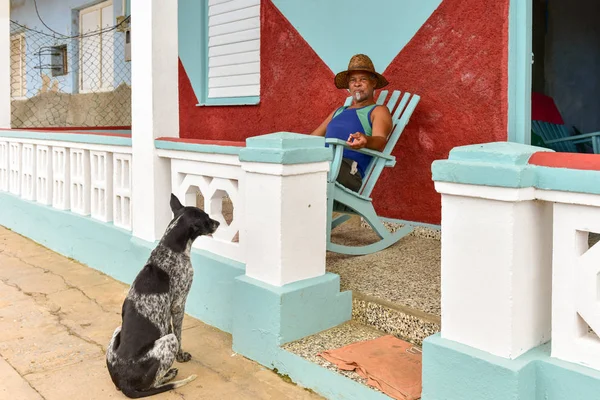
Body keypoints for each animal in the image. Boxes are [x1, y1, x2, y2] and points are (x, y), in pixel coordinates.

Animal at [106, 193, 220, 396]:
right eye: (206, 217)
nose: (219, 222)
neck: (171, 248)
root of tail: (124, 384)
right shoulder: (179, 304)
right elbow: (180, 334)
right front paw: (181, 356)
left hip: (116, 331)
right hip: (168, 342)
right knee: (154, 382)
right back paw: (169, 374)